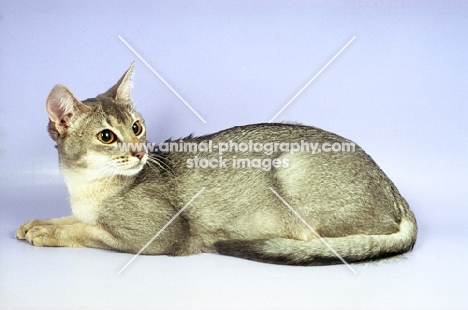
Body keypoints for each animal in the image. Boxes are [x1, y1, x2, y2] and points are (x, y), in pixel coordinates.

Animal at [15, 63, 416, 266]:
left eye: (136, 127)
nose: (141, 151)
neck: (86, 189)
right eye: (106, 136)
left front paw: (48, 233)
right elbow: (74, 219)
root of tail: (397, 194)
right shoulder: (84, 209)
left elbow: (88, 232)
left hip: (291, 165)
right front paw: (39, 222)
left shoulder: (160, 237)